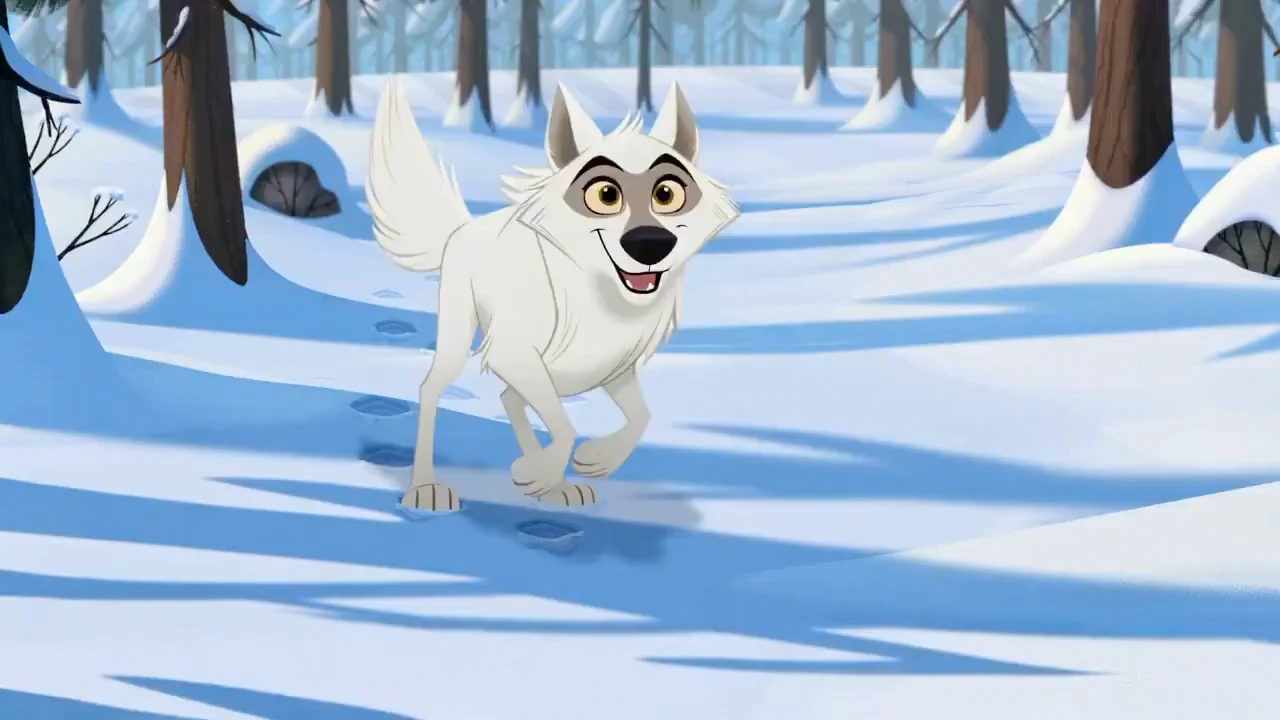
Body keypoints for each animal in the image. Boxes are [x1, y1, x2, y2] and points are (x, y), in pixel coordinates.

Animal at [365, 78, 740, 512]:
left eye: (666, 194)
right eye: (606, 195)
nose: (649, 243)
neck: (601, 294)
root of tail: (465, 226)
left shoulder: (613, 366)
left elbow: (641, 417)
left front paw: (592, 460)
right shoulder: (514, 353)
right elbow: (564, 426)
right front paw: (539, 471)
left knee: (510, 398)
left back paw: (549, 481)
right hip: (460, 338)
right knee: (433, 390)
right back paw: (427, 487)